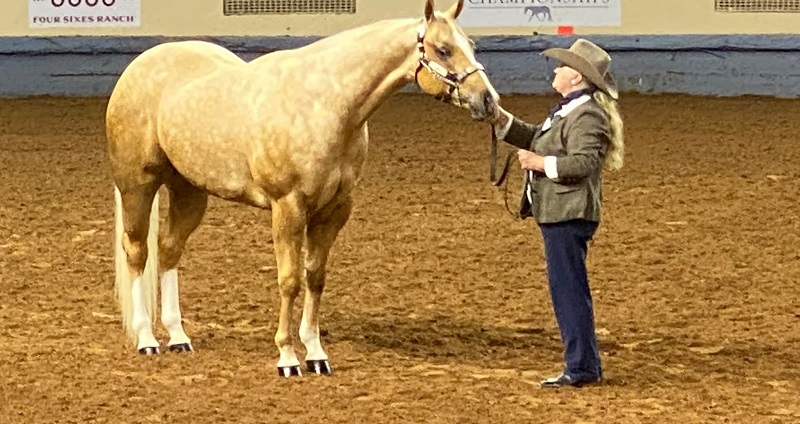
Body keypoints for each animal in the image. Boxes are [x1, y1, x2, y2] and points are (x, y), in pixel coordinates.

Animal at [107, 0, 499, 378]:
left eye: (472, 44)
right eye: (443, 49)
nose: (488, 101)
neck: (324, 104)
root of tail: (138, 66)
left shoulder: (335, 210)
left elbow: (315, 277)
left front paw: (315, 353)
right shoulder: (288, 207)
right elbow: (290, 280)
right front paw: (287, 357)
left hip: (189, 191)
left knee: (169, 250)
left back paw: (178, 336)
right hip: (138, 185)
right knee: (138, 252)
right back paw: (146, 338)